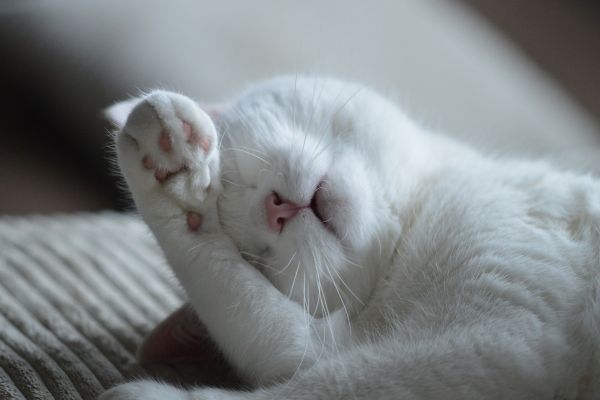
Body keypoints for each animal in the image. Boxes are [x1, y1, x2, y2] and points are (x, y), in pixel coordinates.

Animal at [101, 76, 596, 398]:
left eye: (239, 173)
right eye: (257, 256)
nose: (273, 209)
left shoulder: (498, 341)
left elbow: (334, 383)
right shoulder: (498, 341)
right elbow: (294, 352)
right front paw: (173, 183)